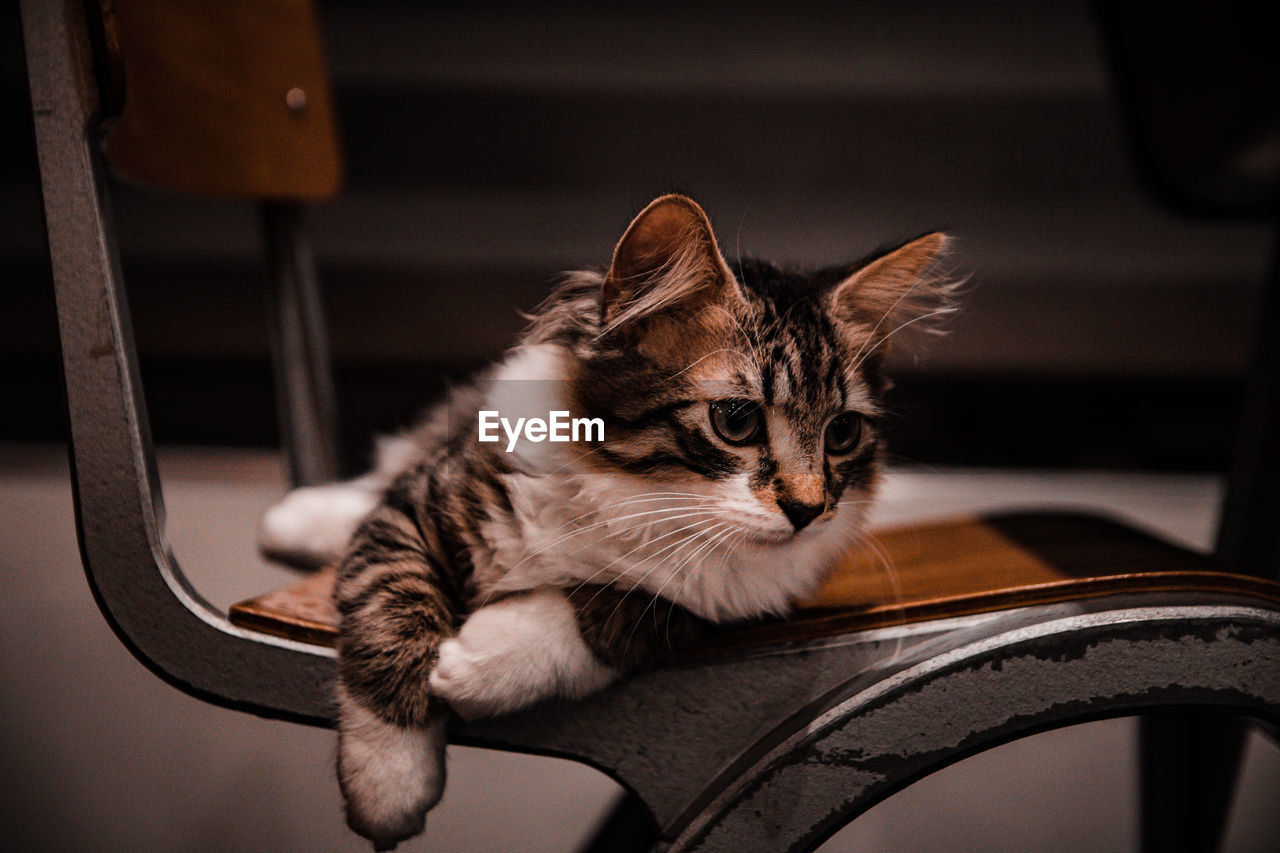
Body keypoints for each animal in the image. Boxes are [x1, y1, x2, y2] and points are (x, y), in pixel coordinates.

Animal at [262, 192, 962, 845]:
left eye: (842, 433)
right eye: (736, 421)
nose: (808, 510)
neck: (639, 490)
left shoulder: (722, 609)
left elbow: (610, 606)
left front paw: (480, 661)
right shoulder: (413, 514)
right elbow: (390, 616)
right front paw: (389, 788)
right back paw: (299, 518)